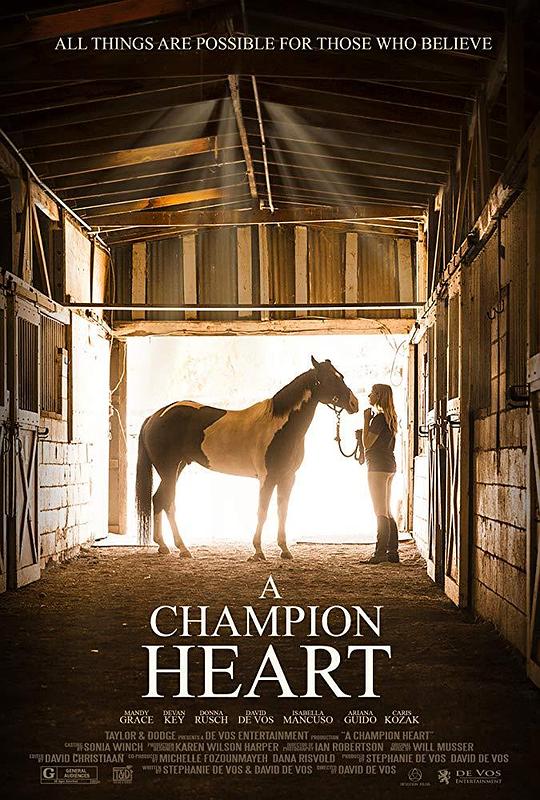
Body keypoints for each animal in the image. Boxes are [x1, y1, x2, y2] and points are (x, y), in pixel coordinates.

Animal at [135, 356, 359, 560]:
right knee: (167, 502)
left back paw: (164, 546)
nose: (354, 403)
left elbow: (282, 511)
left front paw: (285, 549)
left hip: (177, 468)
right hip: (169, 470)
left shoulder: (287, 477)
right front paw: (258, 551)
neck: (279, 425)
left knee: (159, 499)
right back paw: (182, 548)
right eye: (331, 378)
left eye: (341, 376)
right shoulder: (267, 478)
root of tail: (154, 417)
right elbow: (262, 511)